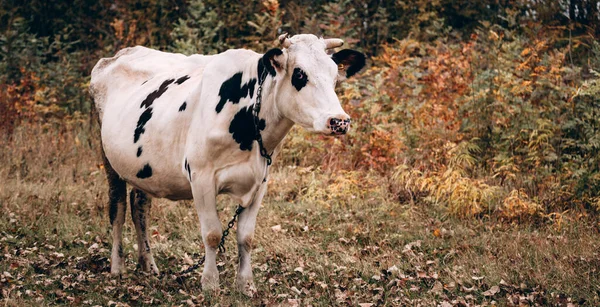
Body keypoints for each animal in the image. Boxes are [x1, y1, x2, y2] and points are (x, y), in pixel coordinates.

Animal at [89, 33, 366, 296]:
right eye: (299, 73)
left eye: (334, 75)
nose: (339, 121)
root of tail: (119, 55)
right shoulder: (201, 177)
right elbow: (212, 234)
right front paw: (210, 284)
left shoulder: (261, 181)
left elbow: (246, 237)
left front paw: (245, 285)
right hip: (108, 157)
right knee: (118, 208)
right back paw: (117, 267)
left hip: (144, 168)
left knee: (140, 208)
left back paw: (148, 265)